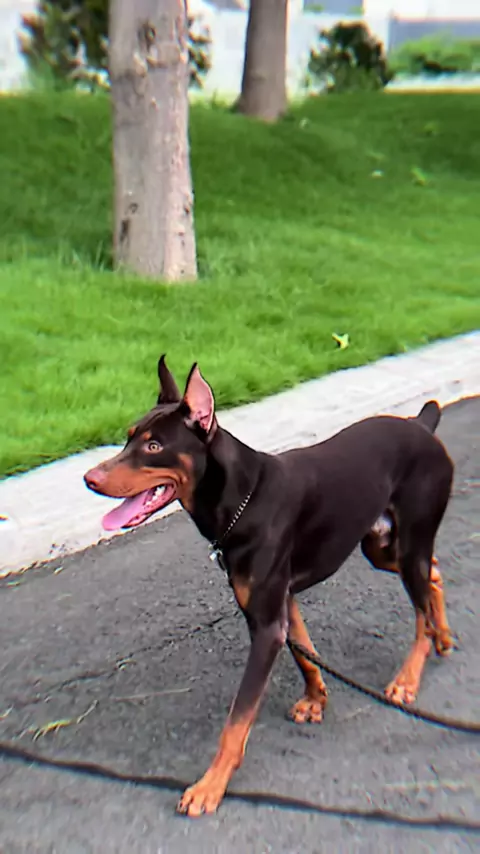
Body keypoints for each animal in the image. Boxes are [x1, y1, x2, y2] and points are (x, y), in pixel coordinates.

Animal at [84, 356, 454, 818]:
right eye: (130, 436)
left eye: (154, 447)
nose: (89, 478)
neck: (243, 500)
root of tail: (422, 426)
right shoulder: (280, 603)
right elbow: (305, 654)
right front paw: (315, 700)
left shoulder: (265, 624)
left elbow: (237, 718)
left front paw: (210, 786)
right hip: (380, 544)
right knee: (434, 574)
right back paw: (444, 637)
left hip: (408, 545)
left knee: (420, 608)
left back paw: (408, 678)